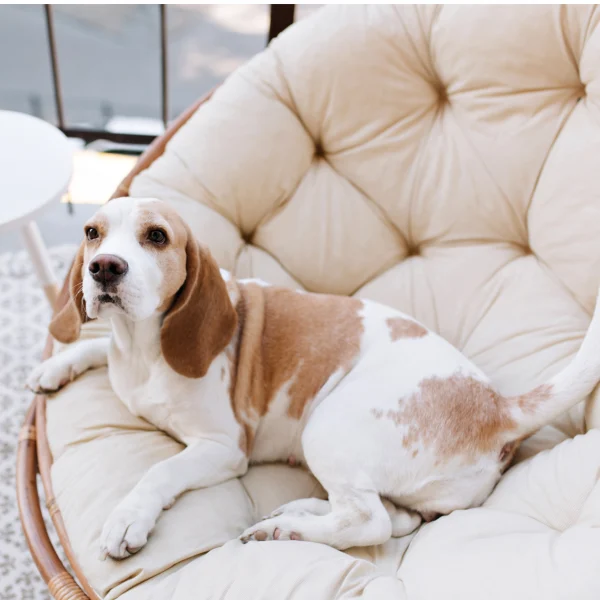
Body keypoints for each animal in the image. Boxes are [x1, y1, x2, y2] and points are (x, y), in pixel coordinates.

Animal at [28, 196, 600, 556]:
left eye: (156, 237)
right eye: (92, 233)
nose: (104, 266)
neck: (142, 349)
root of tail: (500, 407)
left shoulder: (222, 448)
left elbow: (158, 472)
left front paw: (129, 517)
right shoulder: (118, 350)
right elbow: (93, 345)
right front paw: (57, 364)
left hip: (327, 424)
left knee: (369, 521)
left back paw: (287, 530)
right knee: (392, 517)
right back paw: (299, 512)